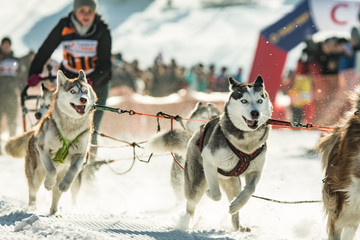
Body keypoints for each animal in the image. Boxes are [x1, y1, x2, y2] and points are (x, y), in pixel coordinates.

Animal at [4, 70, 97, 216]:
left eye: (85, 91)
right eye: (73, 91)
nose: (83, 99)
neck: (70, 128)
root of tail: (34, 132)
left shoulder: (80, 155)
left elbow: (73, 169)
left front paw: (65, 184)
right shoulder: (43, 148)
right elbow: (51, 169)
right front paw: (48, 183)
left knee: (56, 193)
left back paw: (54, 211)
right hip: (36, 175)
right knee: (32, 192)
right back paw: (32, 208)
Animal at [181, 76, 272, 231]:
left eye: (260, 100)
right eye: (244, 100)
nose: (255, 113)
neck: (246, 143)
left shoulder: (255, 171)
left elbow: (250, 189)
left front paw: (236, 204)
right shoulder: (209, 162)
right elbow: (216, 195)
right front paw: (209, 193)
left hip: (233, 183)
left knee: (236, 201)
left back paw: (239, 225)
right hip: (197, 180)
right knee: (191, 204)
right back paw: (184, 224)